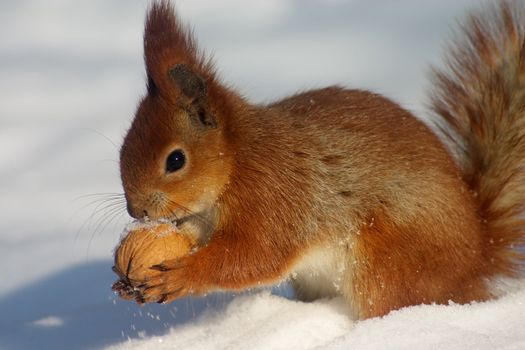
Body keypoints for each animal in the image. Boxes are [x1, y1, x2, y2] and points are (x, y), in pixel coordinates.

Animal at [114, 0, 524, 318]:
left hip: (389, 265)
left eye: (175, 160)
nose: (137, 211)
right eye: (123, 146)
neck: (238, 160)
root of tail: (479, 256)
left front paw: (180, 276)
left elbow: (254, 256)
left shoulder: (274, 196)